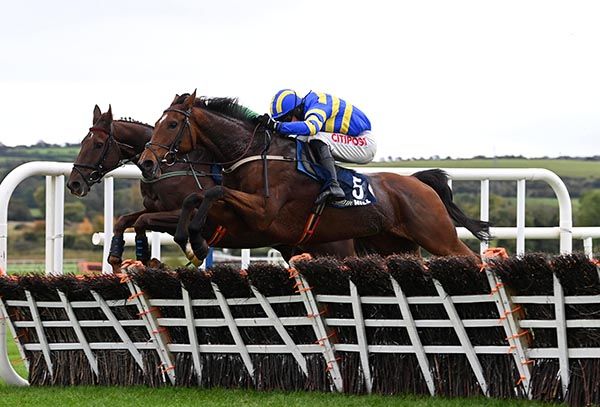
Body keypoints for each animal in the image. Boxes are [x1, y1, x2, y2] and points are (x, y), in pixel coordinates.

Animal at [138, 91, 490, 264]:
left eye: (171, 125)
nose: (146, 162)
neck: (256, 153)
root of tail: (418, 182)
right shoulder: (243, 216)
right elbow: (195, 197)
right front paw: (189, 241)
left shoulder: (265, 213)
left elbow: (211, 194)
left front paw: (195, 241)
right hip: (395, 244)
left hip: (437, 235)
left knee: (471, 257)